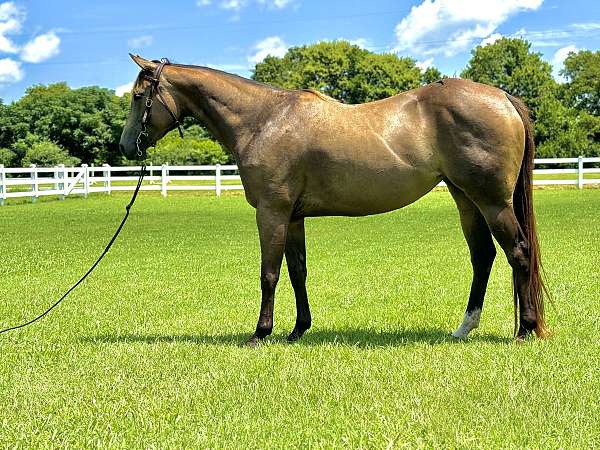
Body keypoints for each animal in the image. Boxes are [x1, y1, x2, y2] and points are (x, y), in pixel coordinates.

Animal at [119, 54, 552, 346]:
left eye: (139, 96)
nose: (125, 147)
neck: (263, 120)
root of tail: (503, 97)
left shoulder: (271, 213)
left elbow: (269, 273)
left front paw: (260, 334)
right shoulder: (292, 217)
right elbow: (297, 271)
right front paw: (297, 330)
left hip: (492, 201)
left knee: (518, 252)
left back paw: (525, 330)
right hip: (466, 199)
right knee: (483, 256)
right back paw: (465, 328)